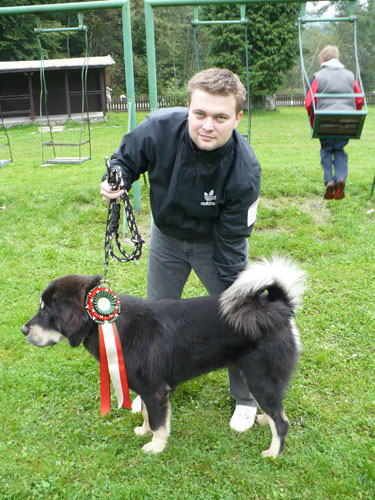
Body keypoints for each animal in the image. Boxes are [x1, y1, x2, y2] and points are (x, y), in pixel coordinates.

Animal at [20, 258, 306, 458]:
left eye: (46, 311)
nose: (23, 330)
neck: (108, 324)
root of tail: (280, 306)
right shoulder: (147, 390)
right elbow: (148, 415)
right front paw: (144, 432)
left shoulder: (155, 389)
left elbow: (159, 423)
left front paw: (155, 448)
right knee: (276, 411)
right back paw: (264, 419)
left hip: (260, 378)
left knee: (282, 422)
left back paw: (273, 452)